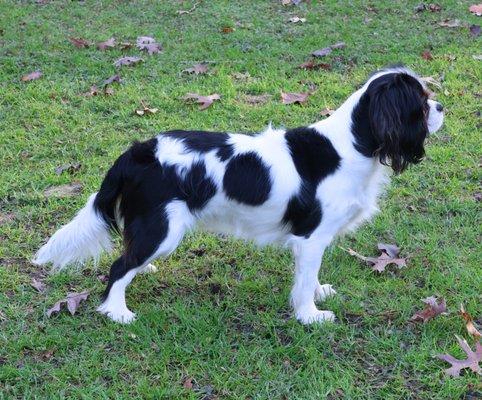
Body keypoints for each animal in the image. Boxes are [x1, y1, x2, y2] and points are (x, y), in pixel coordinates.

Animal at [34, 67, 444, 324]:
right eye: (422, 102)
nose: (442, 106)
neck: (350, 144)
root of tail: (138, 151)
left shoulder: (315, 240)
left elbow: (310, 276)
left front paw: (318, 293)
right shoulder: (311, 236)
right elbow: (303, 282)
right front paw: (310, 316)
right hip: (164, 228)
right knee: (119, 268)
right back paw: (118, 312)